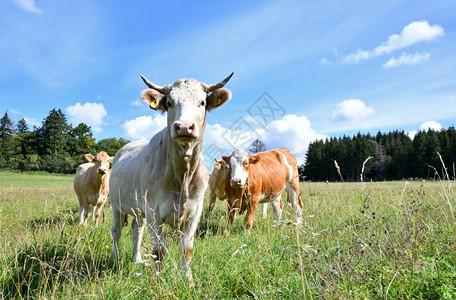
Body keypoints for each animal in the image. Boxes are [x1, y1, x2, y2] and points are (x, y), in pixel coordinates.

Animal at [109, 71, 233, 282]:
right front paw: (158, 281)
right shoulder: (153, 210)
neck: (183, 175)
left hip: (139, 207)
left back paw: (137, 259)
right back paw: (115, 259)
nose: (184, 127)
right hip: (116, 204)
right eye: (169, 103)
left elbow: (186, 248)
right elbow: (158, 250)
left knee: (136, 229)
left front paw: (188, 280)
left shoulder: (195, 211)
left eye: (202, 102)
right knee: (116, 231)